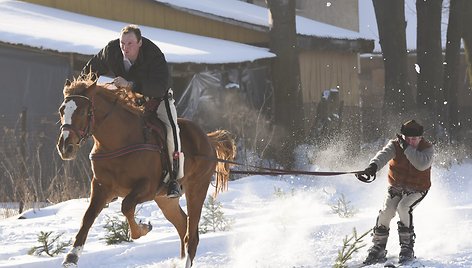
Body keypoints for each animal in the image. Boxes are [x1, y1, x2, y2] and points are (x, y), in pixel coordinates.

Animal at [57, 76, 236, 266]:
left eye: (83, 112)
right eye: (62, 111)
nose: (65, 147)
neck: (119, 141)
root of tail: (207, 139)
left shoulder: (147, 188)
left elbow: (127, 206)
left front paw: (143, 229)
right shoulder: (101, 187)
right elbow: (88, 217)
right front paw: (72, 256)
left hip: (196, 188)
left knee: (192, 235)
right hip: (165, 199)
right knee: (183, 225)